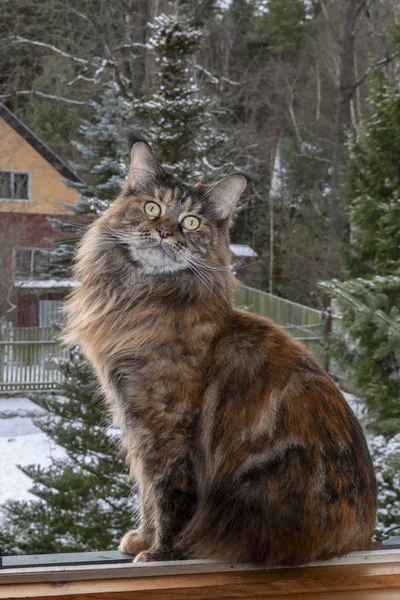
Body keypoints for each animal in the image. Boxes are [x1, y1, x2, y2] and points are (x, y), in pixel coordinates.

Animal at [64, 138, 376, 564]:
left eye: (192, 222)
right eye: (152, 208)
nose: (164, 231)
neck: (142, 299)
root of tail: (360, 538)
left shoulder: (165, 423)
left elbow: (166, 494)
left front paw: (159, 553)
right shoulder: (134, 421)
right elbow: (145, 489)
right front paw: (142, 541)